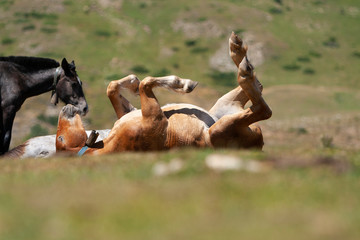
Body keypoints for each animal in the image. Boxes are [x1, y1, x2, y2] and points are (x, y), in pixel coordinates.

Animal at [54, 32, 272, 156]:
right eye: (61, 138)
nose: (66, 109)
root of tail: (259, 144)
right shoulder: (154, 118)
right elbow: (146, 83)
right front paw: (182, 84)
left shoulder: (130, 112)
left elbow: (114, 87)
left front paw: (132, 82)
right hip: (220, 129)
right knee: (262, 107)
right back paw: (240, 60)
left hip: (224, 105)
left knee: (258, 85)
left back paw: (238, 50)